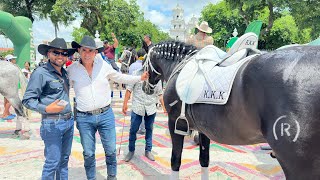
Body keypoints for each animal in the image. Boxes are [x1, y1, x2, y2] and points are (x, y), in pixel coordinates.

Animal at [143, 41, 320, 180]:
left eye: (144, 61)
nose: (146, 88)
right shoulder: (203, 129)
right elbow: (204, 160)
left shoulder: (175, 123)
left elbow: (175, 160)